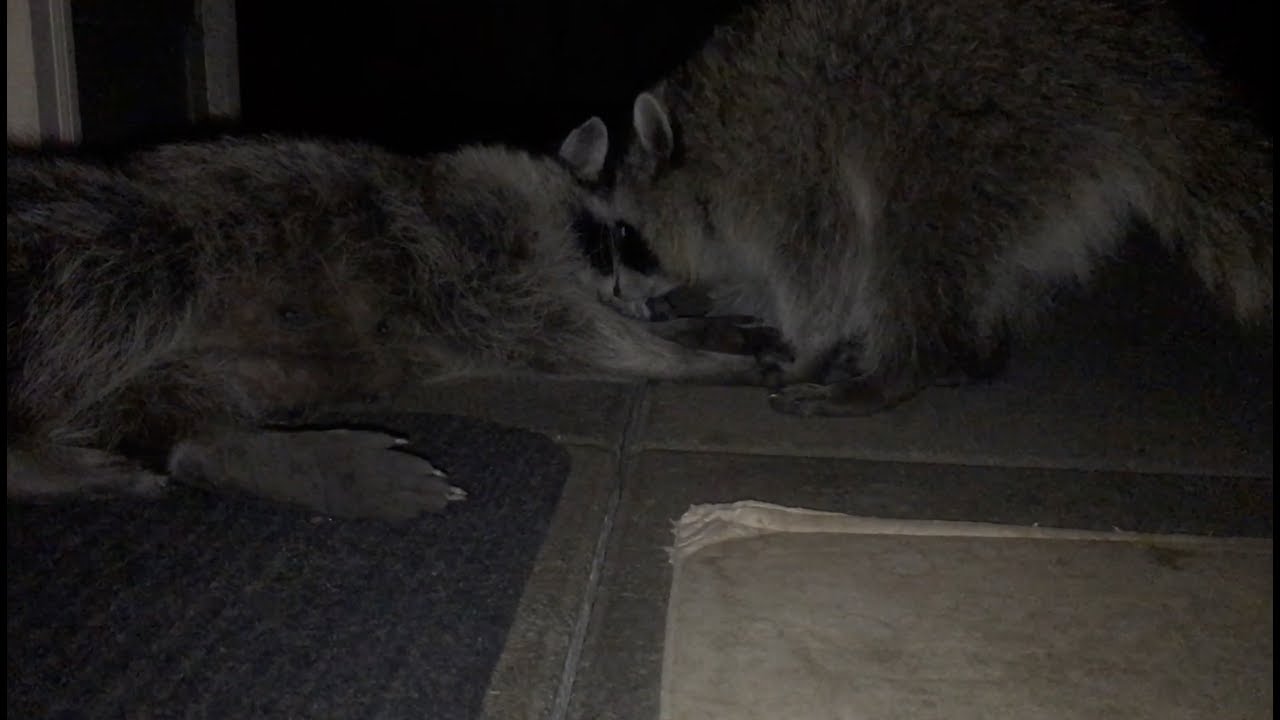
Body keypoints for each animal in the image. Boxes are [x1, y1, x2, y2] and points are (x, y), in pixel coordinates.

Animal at [7, 133, 775, 517]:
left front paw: (700, 333)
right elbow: (563, 329)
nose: (660, 296)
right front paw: (696, 361)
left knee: (176, 417)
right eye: (618, 234)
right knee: (131, 283)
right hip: (108, 243)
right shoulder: (470, 259)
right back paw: (35, 460)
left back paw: (228, 450)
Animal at [560, 0, 1274, 415]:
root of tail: (1134, 62)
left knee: (912, 246)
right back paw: (975, 351)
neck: (703, 139)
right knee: (983, 264)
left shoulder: (787, 156)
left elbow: (825, 254)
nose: (614, 295)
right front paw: (726, 306)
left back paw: (902, 370)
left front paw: (809, 342)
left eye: (623, 232)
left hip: (982, 131)